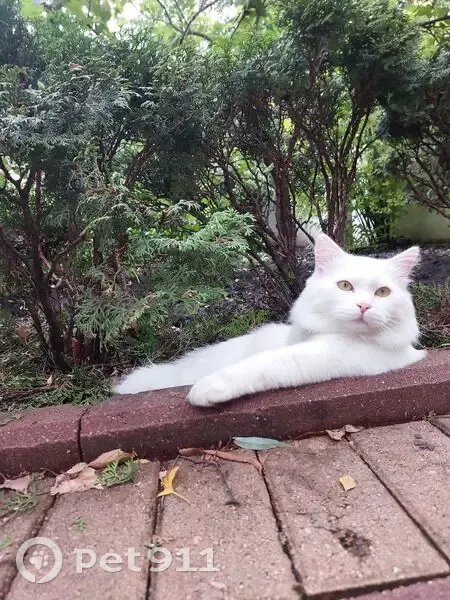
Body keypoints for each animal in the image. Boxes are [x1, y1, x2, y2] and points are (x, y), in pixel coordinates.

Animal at [114, 233, 426, 407]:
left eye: (382, 292)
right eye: (345, 286)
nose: (364, 306)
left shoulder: (324, 356)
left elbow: (261, 366)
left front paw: (205, 390)